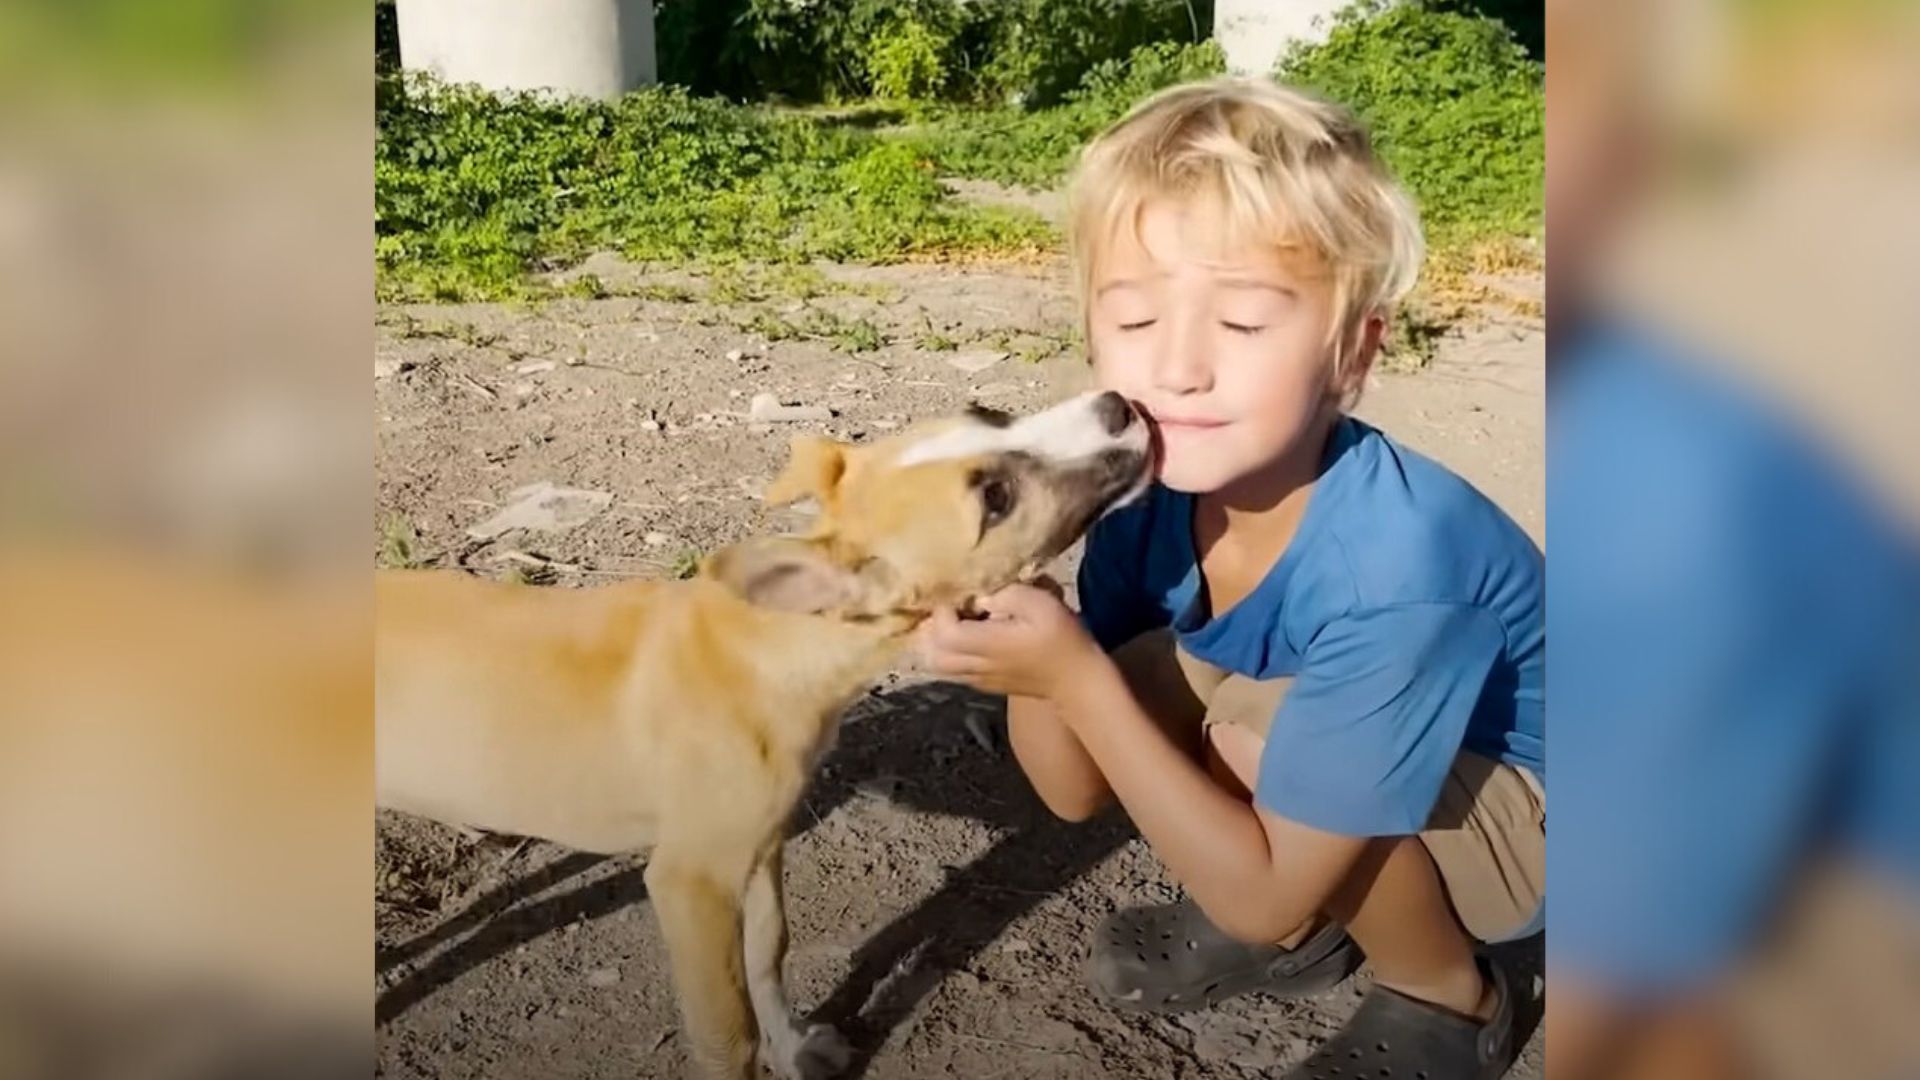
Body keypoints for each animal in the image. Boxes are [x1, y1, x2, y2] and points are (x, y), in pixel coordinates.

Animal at [378, 390, 1152, 1068]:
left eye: (990, 415)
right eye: (996, 499)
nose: (1117, 404)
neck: (780, 641)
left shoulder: (761, 846)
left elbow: (768, 952)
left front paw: (796, 1045)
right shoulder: (691, 884)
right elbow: (728, 1035)